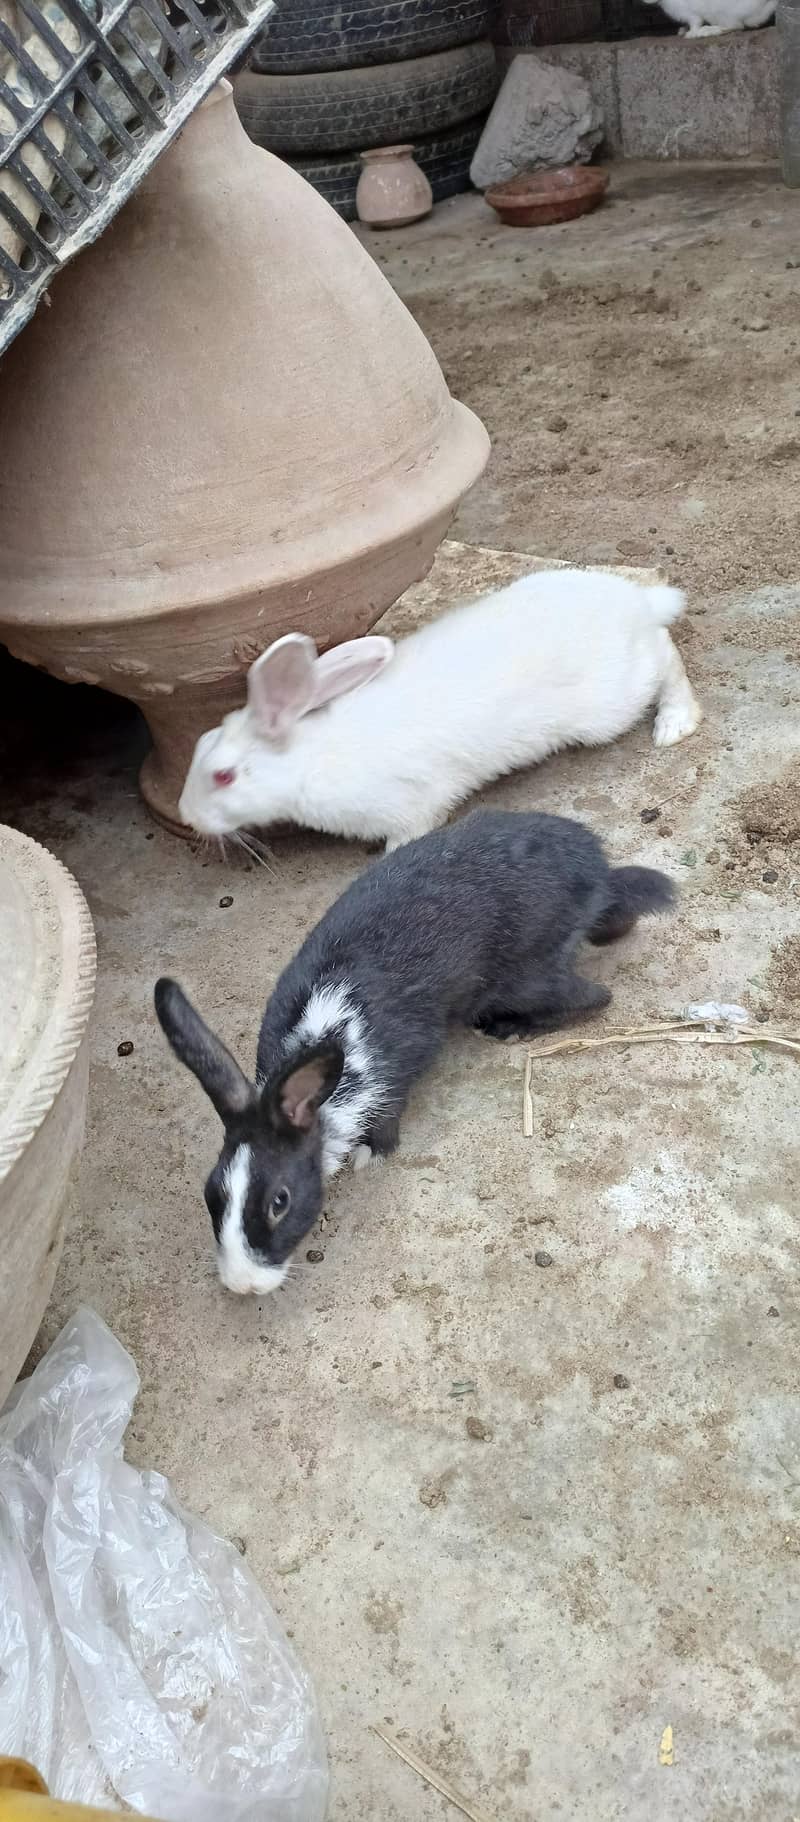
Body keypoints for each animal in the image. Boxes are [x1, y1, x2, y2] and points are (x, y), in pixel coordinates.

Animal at [155, 808, 675, 1296]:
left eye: (279, 1201)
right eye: (212, 1193)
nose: (244, 1284)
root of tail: (599, 870)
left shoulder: (392, 1080)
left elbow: (387, 1123)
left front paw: (370, 1156)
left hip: (528, 975)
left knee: (595, 998)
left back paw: (511, 1029)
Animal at [178, 567, 702, 853]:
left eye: (224, 776)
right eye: (198, 743)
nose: (187, 816)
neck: (308, 758)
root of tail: (635, 601)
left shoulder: (410, 806)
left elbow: (408, 835)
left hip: (610, 705)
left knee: (664, 654)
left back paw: (675, 724)